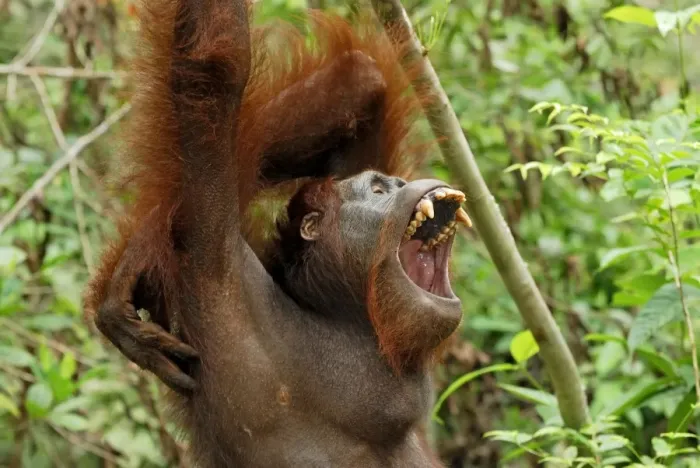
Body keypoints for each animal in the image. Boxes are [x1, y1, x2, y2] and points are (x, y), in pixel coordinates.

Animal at [84, 0, 472, 466]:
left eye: (392, 183)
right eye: (379, 191)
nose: (399, 184)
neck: (346, 314)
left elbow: (362, 76)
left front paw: (139, 253)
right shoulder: (220, 269)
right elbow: (215, 68)